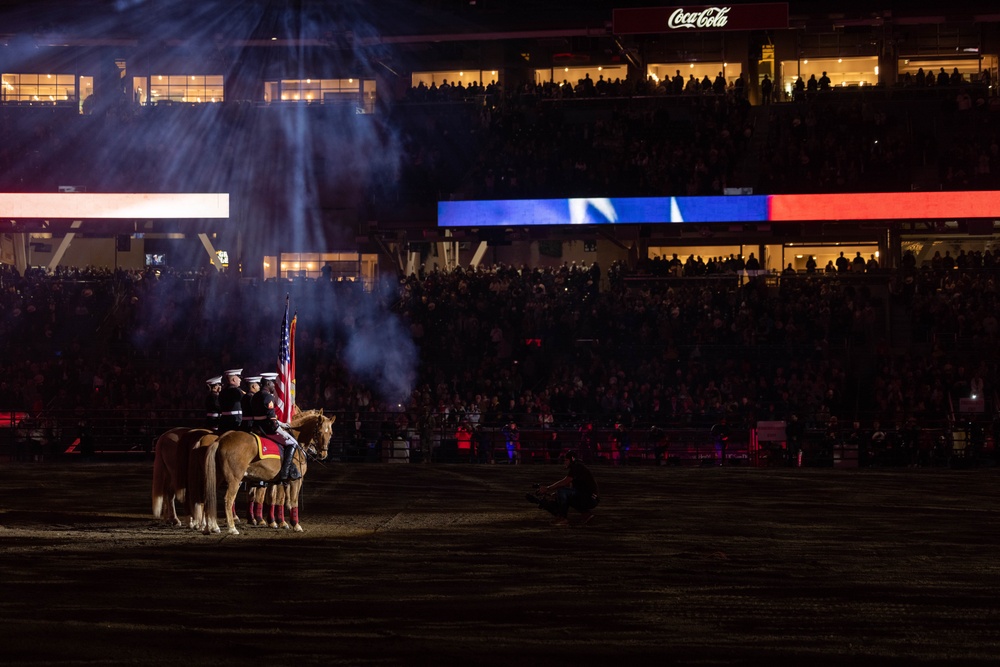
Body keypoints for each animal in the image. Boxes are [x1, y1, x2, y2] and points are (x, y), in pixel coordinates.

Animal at [203, 408, 336, 536]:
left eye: (330, 433)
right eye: (319, 432)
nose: (323, 454)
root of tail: (221, 439)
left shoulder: (276, 481)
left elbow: (273, 498)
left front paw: (275, 522)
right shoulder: (295, 480)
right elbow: (291, 500)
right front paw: (294, 524)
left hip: (218, 477)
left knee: (209, 495)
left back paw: (211, 526)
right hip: (234, 479)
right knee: (228, 499)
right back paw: (232, 528)